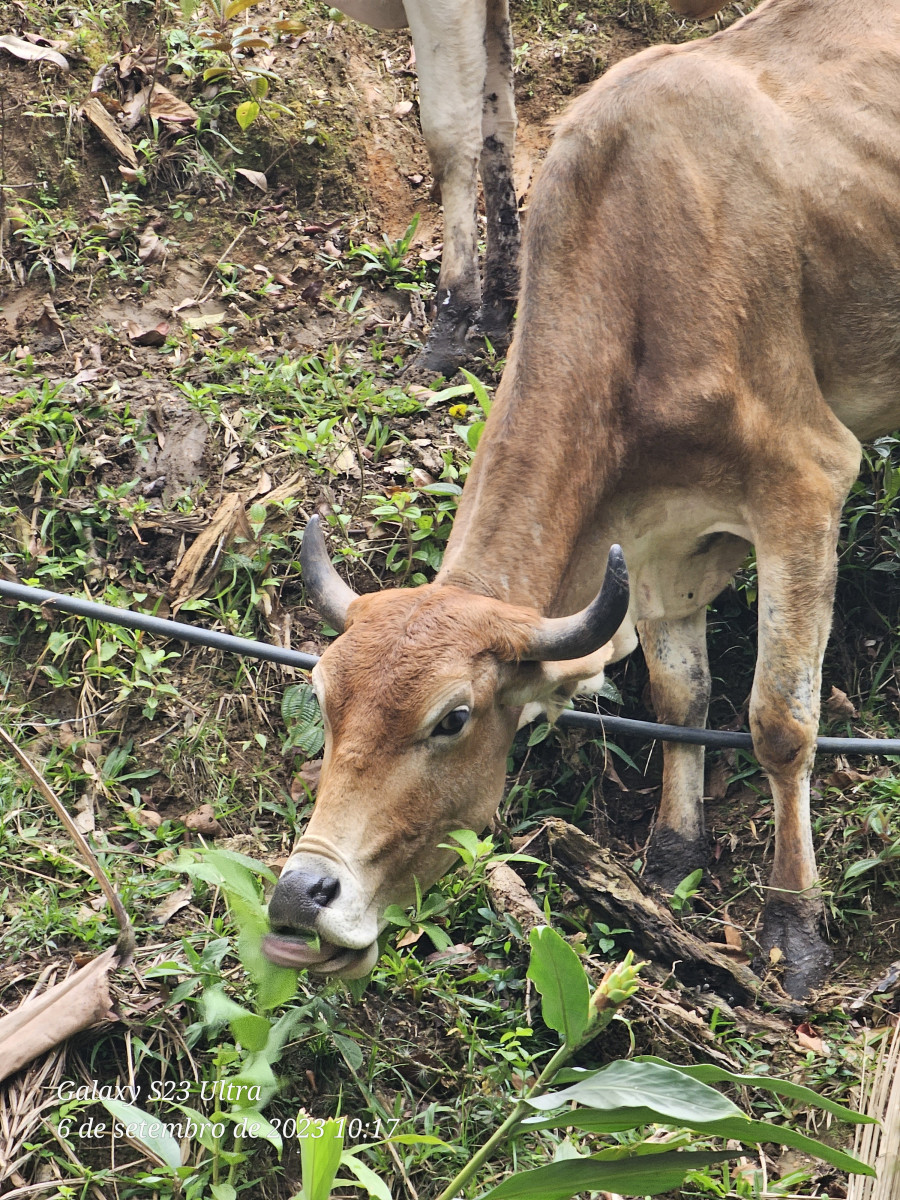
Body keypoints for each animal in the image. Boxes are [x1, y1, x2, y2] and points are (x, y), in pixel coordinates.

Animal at [266, 0, 900, 993]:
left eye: (451, 718)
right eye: (325, 699)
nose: (302, 893)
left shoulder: (805, 485)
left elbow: (778, 722)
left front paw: (793, 925)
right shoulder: (657, 541)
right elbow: (681, 695)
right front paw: (673, 856)